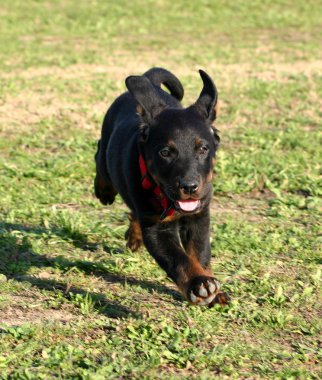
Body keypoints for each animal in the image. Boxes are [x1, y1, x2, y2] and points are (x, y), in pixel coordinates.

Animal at [94, 67, 228, 306]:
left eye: (203, 148)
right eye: (165, 152)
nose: (189, 186)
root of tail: (149, 79)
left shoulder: (199, 216)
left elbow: (200, 253)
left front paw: (213, 289)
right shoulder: (157, 228)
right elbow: (178, 259)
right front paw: (199, 284)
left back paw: (134, 238)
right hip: (107, 154)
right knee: (100, 156)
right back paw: (104, 191)